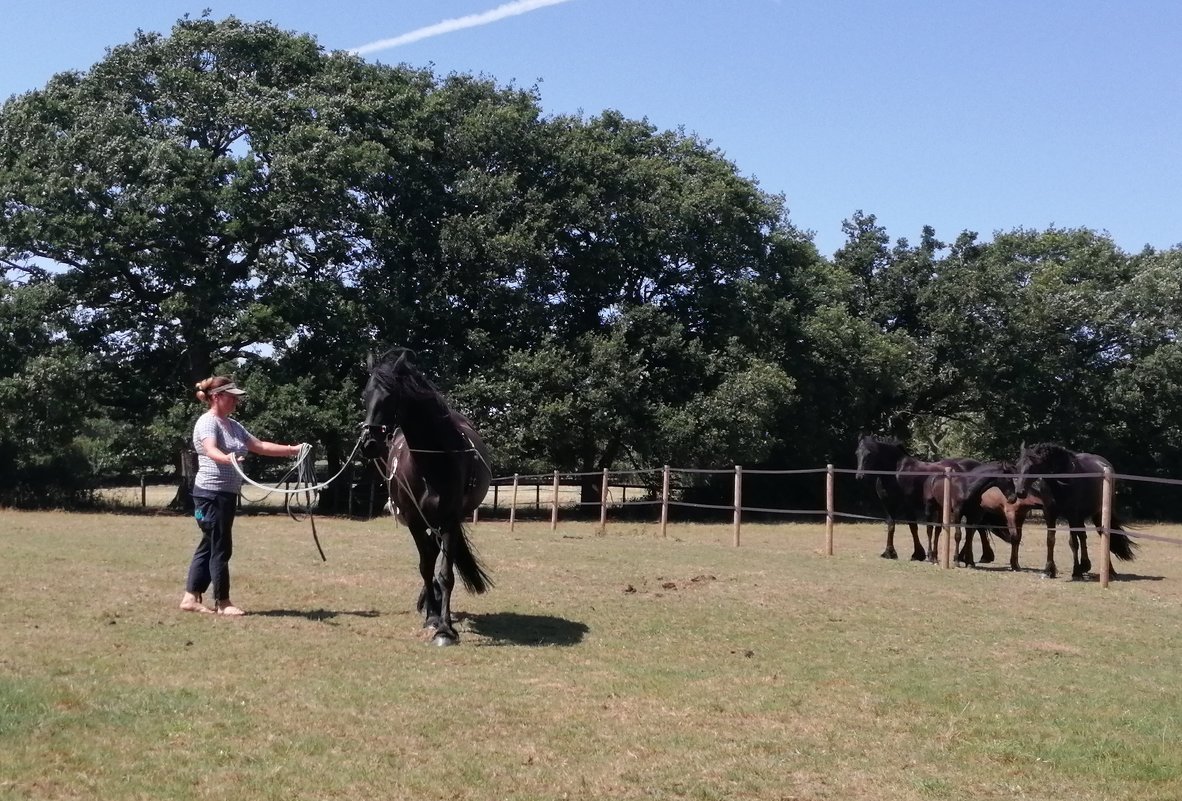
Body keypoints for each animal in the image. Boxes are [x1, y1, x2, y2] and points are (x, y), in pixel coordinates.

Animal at [356, 352, 491, 647]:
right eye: (365, 395)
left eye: (390, 396)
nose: (369, 443)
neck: (433, 462)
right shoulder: (415, 521)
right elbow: (425, 566)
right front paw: (432, 618)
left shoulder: (450, 520)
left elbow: (445, 573)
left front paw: (445, 629)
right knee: (430, 554)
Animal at [1007, 441, 1134, 581]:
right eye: (1018, 465)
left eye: (1033, 466)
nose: (1020, 492)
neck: (1063, 480)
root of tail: (1105, 465)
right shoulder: (1050, 514)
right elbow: (1050, 540)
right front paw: (1048, 570)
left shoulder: (1071, 515)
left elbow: (1073, 542)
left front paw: (1076, 572)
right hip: (1081, 517)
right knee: (1083, 536)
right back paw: (1085, 565)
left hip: (1099, 515)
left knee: (1103, 537)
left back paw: (1109, 571)